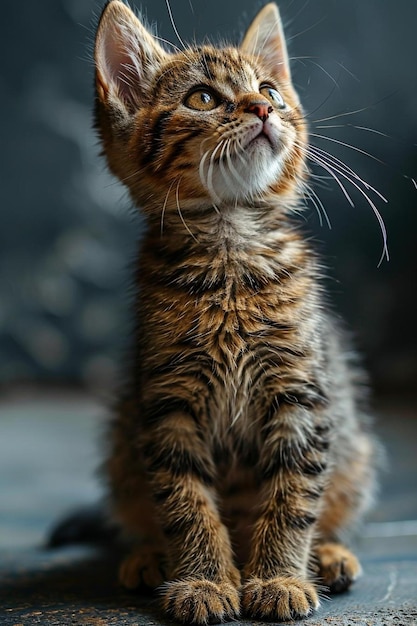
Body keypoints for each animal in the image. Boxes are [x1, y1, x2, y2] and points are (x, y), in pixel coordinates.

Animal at [93, 2, 376, 620]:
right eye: (202, 98)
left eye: (268, 89)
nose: (265, 108)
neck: (231, 246)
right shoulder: (167, 403)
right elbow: (184, 500)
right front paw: (202, 580)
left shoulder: (302, 393)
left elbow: (293, 494)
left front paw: (279, 578)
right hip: (124, 444)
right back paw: (149, 555)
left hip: (356, 450)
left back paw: (328, 555)